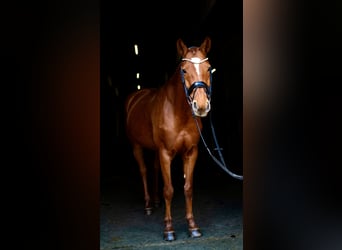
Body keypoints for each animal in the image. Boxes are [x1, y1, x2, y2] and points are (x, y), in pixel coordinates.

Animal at [124, 36, 212, 240]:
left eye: (208, 68)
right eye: (184, 70)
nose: (201, 105)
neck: (178, 112)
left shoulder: (191, 152)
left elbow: (188, 188)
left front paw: (192, 226)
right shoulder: (165, 153)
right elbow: (169, 190)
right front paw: (169, 229)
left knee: (155, 169)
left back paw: (156, 202)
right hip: (137, 147)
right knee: (144, 171)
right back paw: (149, 205)